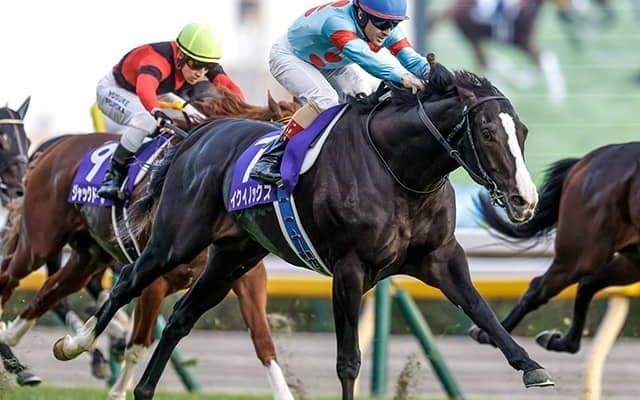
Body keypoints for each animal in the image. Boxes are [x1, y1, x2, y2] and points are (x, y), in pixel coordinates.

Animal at [0, 88, 300, 400]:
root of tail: (53, 148)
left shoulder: (244, 277)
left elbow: (263, 341)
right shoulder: (155, 279)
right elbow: (139, 344)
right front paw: (118, 391)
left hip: (88, 256)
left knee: (51, 290)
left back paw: (20, 338)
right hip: (40, 241)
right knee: (8, 278)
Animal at [53, 66, 555, 400]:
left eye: (523, 131)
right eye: (487, 131)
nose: (525, 200)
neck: (399, 171)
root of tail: (198, 136)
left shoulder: (439, 257)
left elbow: (482, 311)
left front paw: (531, 366)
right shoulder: (350, 269)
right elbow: (348, 360)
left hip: (233, 256)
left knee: (180, 319)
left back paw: (142, 389)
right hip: (176, 240)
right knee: (127, 280)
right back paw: (75, 345)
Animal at [429, 0, 567, 105]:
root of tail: (452, 8)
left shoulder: (524, 41)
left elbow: (541, 63)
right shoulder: (522, 41)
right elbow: (546, 59)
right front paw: (556, 96)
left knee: (486, 61)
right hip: (473, 36)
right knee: (484, 62)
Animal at [469, 142, 640, 354]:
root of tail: (588, 160)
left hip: (631, 261)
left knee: (587, 284)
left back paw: (560, 341)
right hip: (579, 255)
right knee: (540, 288)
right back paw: (490, 335)